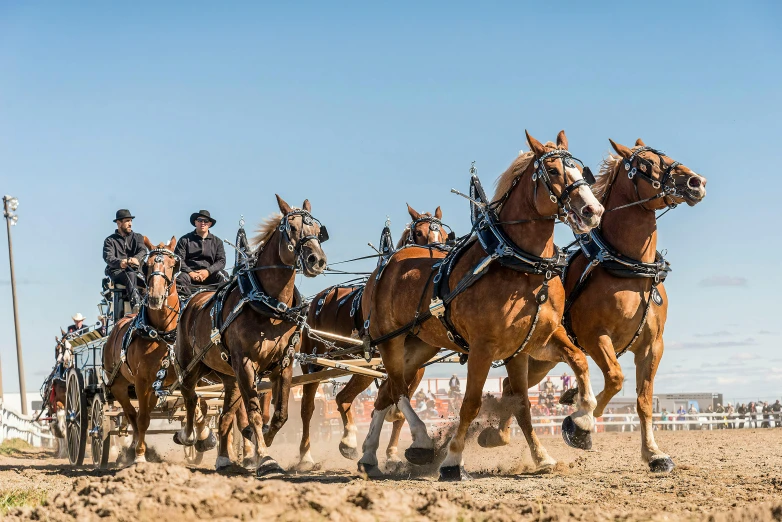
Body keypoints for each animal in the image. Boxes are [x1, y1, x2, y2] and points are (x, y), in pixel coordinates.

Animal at [102, 238, 185, 462]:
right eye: (145, 266)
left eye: (172, 264)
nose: (155, 298)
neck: (161, 333)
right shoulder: (141, 381)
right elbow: (142, 419)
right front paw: (139, 455)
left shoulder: (163, 381)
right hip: (118, 385)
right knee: (132, 414)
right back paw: (133, 448)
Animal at [175, 195, 328, 476]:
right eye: (291, 228)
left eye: (317, 230)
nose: (317, 260)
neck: (269, 306)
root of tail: (193, 299)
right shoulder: (246, 364)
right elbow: (255, 414)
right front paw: (265, 457)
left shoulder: (283, 364)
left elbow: (279, 415)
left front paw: (258, 444)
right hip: (190, 366)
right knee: (190, 397)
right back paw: (192, 435)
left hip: (230, 378)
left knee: (224, 416)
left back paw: (223, 458)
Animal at [358, 131, 604, 480]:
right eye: (553, 171)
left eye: (582, 170)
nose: (593, 210)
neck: (524, 267)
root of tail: (385, 265)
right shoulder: (482, 348)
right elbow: (471, 403)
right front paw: (452, 461)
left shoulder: (532, 343)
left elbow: (549, 383)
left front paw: (568, 435)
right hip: (389, 340)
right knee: (396, 389)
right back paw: (420, 441)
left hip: (420, 346)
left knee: (386, 393)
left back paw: (369, 456)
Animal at [480, 138, 708, 472]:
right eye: (646, 164)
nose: (696, 182)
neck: (629, 267)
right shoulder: (594, 336)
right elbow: (614, 378)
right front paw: (579, 423)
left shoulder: (653, 345)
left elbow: (643, 400)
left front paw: (653, 453)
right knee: (514, 390)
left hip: (542, 360)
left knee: (511, 389)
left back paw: (498, 435)